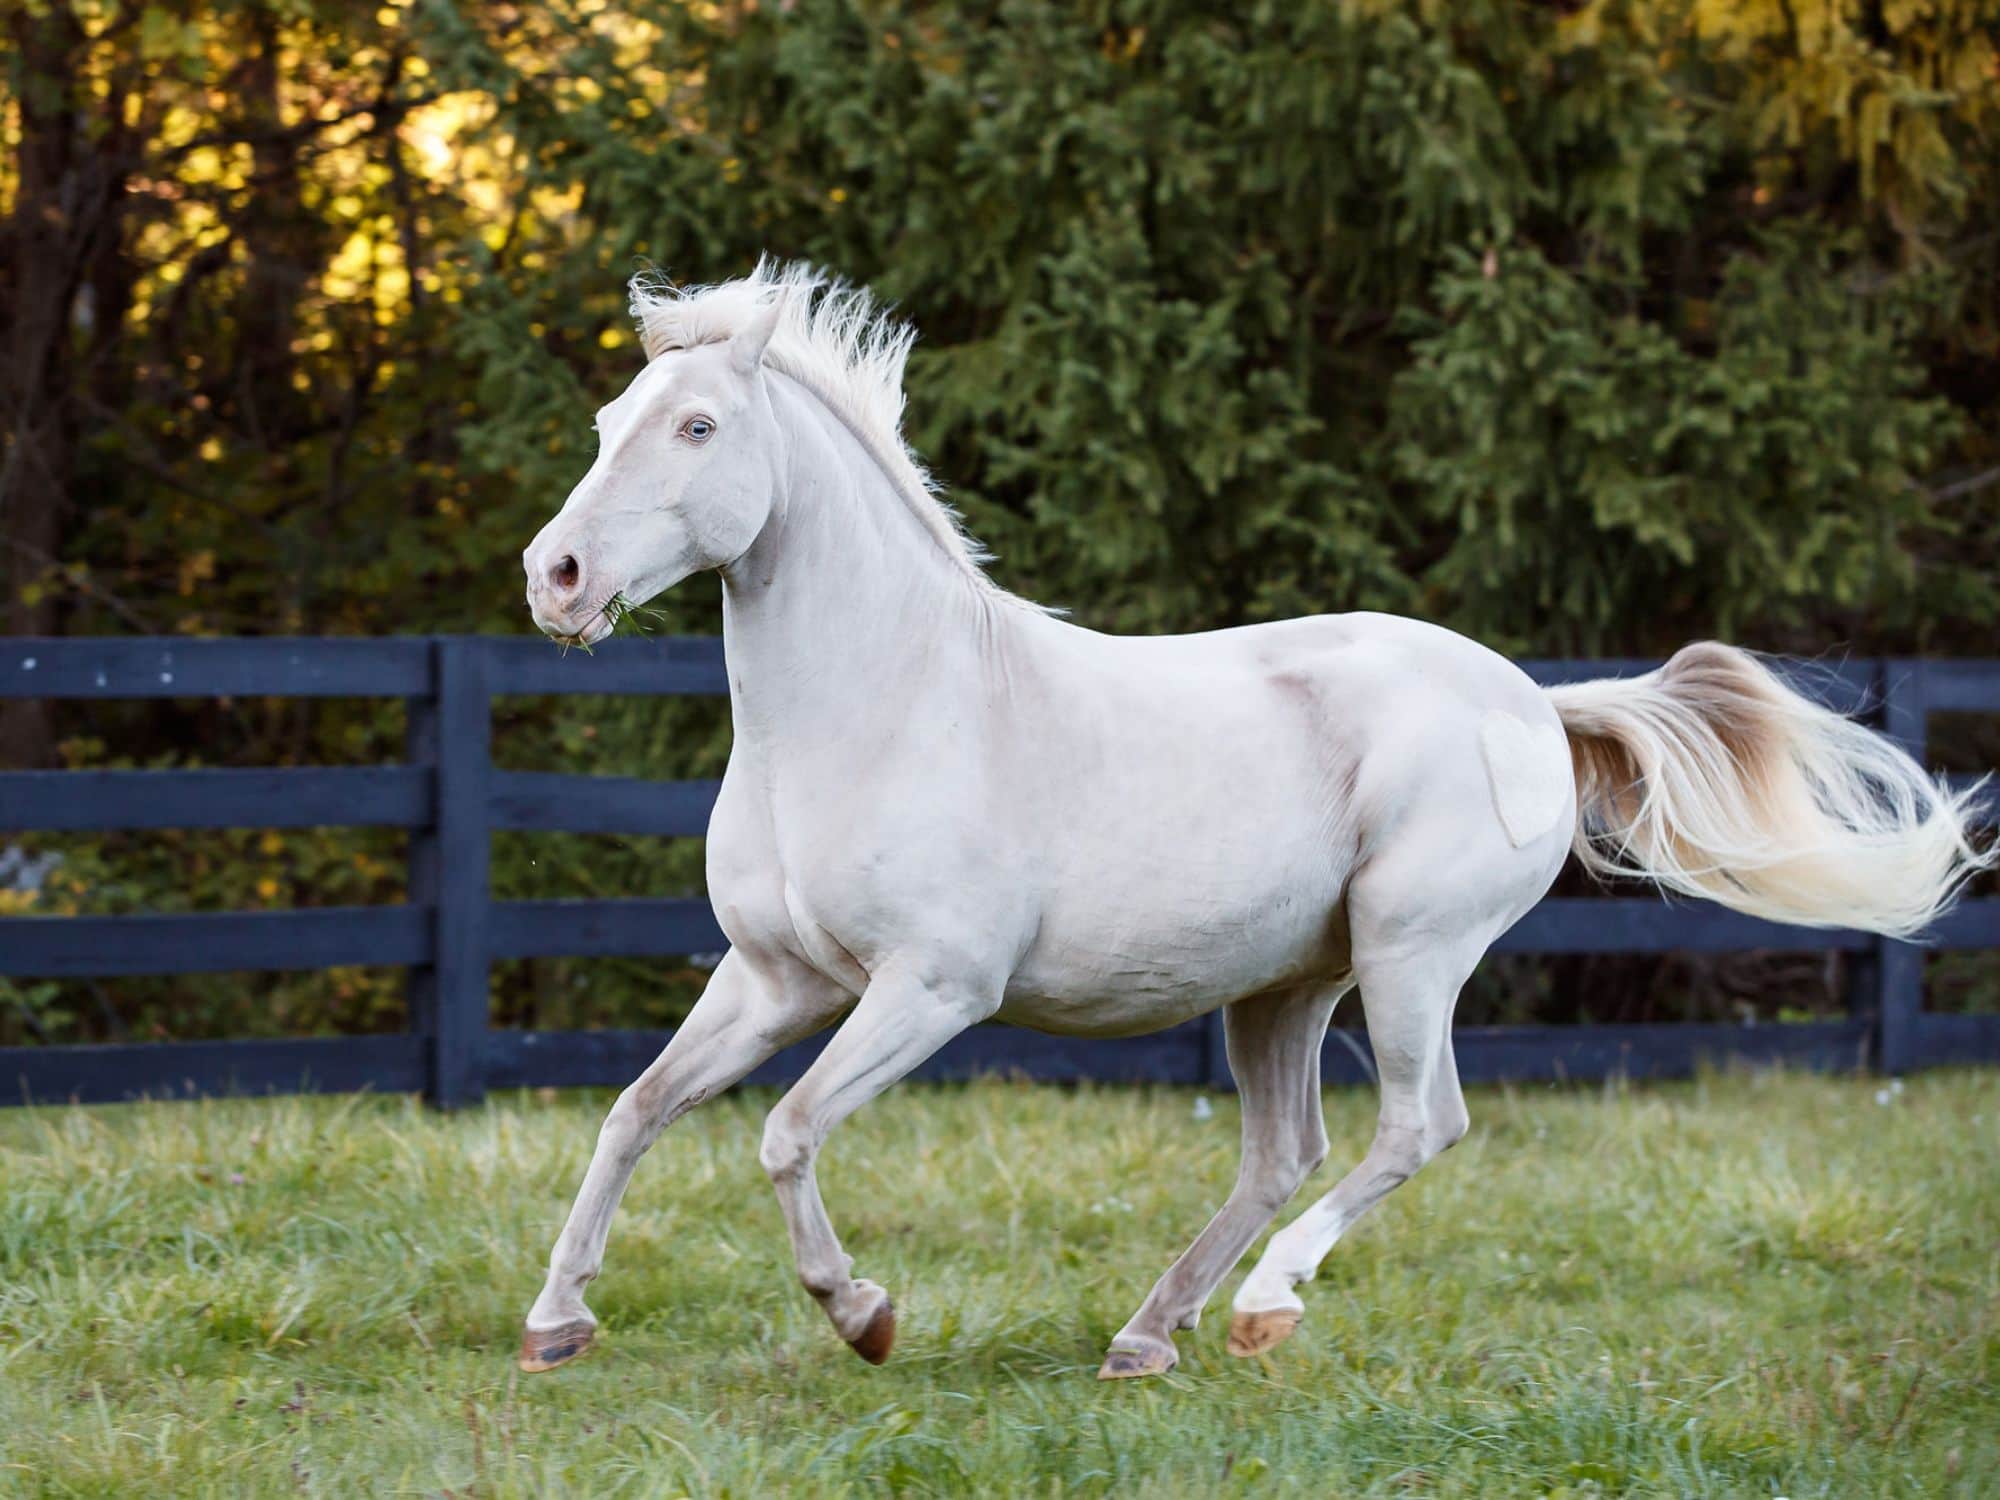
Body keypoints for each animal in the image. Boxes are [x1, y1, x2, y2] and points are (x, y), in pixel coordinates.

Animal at [512, 262, 1984, 1384]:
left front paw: (864, 1315)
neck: (879, 707)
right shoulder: (774, 979)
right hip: (1285, 987)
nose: (556, 577)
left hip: (1409, 952)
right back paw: (1146, 1336)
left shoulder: (930, 989)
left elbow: (786, 1132)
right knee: (1287, 1151)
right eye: (606, 417)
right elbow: (637, 1111)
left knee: (1416, 1129)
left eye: (699, 429)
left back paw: (1265, 1308)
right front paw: (554, 1324)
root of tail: (1528, 699)